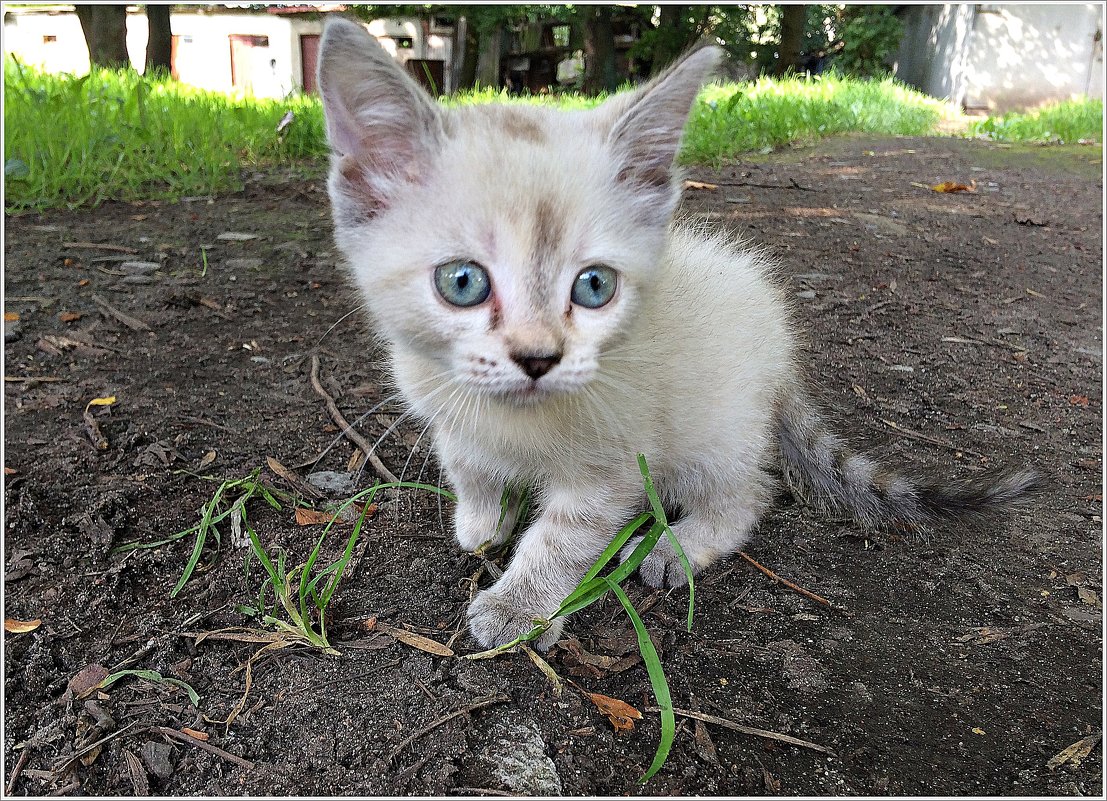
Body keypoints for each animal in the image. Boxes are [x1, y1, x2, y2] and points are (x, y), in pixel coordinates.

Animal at [318, 15, 1036, 646]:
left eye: (594, 287)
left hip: (712, 431)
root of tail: (779, 355)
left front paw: (519, 606)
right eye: (462, 282)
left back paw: (673, 545)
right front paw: (479, 520)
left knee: (751, 491)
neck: (512, 420)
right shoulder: (438, 398)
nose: (538, 358)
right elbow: (465, 461)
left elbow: (562, 538)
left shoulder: (612, 462)